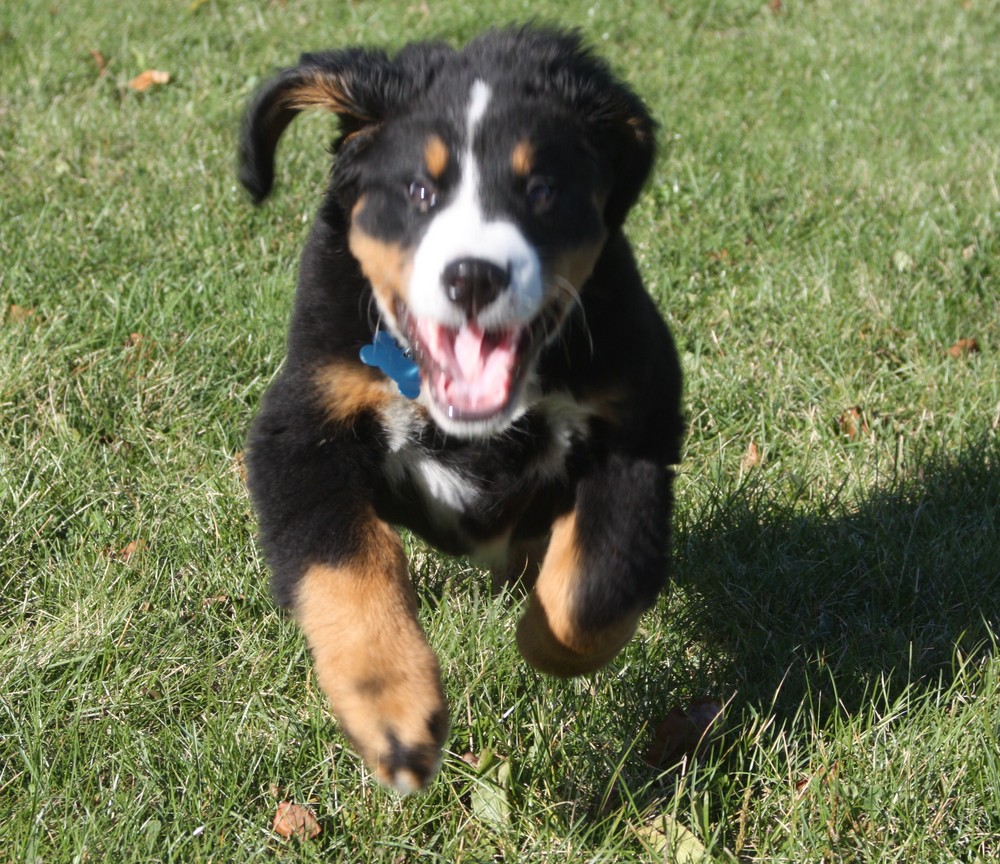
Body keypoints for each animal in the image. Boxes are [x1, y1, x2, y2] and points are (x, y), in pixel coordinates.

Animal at [238, 23, 684, 792]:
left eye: (542, 191)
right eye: (419, 190)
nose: (474, 276)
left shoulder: (639, 417)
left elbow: (594, 585)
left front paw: (543, 640)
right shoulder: (303, 425)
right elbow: (350, 567)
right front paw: (393, 713)